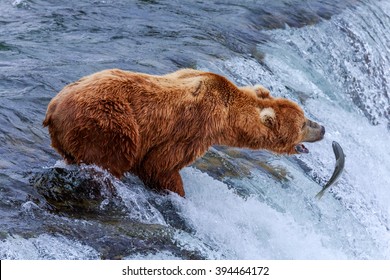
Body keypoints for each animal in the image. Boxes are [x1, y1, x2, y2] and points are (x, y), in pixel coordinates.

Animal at [42, 68, 324, 196]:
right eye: (303, 124)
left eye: (305, 116)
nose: (322, 128)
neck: (226, 117)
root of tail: (53, 107)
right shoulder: (194, 127)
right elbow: (160, 166)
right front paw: (176, 190)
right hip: (108, 124)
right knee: (111, 159)